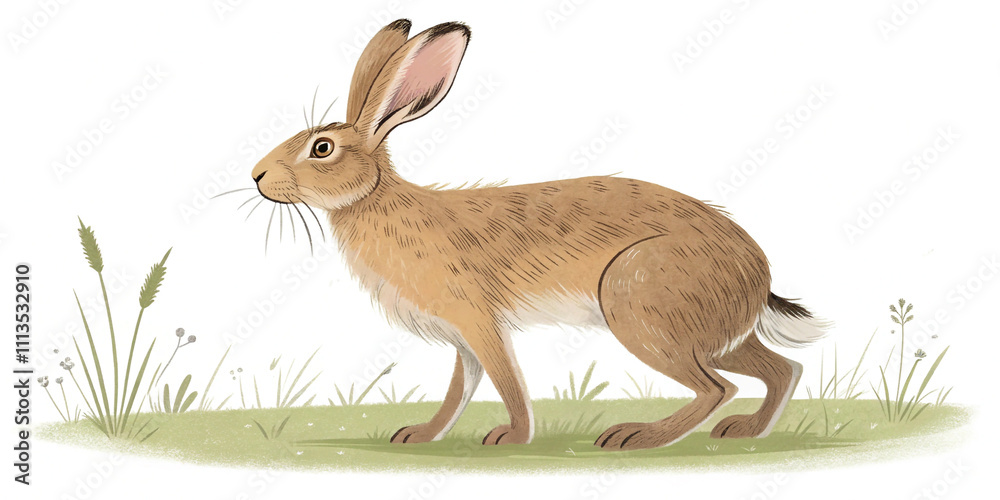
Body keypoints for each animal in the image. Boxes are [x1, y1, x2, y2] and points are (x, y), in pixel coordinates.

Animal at [248, 19, 829, 450]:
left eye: (321, 148)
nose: (256, 175)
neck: (374, 199)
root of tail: (757, 272)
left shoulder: (478, 321)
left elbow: (506, 380)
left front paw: (511, 437)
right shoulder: (462, 337)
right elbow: (460, 387)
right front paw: (421, 435)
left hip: (639, 306)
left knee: (717, 386)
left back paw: (636, 437)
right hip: (707, 332)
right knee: (782, 369)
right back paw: (747, 430)